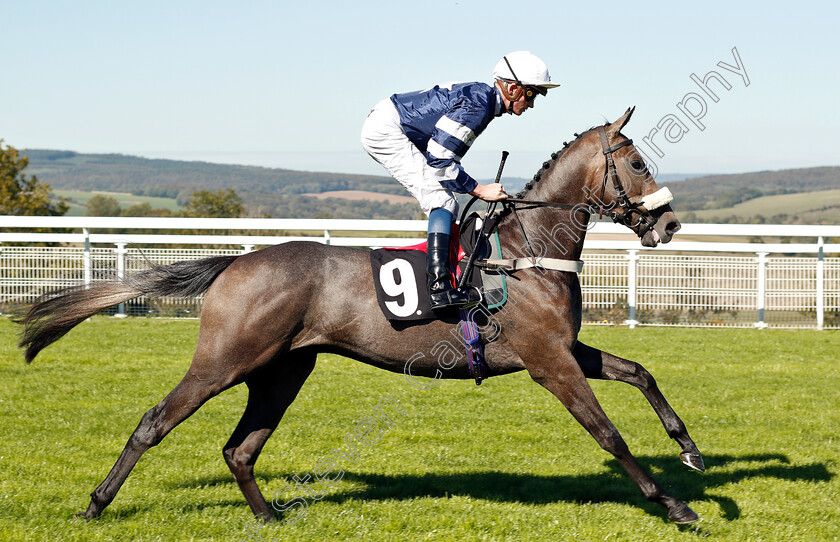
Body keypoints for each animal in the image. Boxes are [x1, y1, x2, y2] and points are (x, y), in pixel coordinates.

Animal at [18, 107, 704, 528]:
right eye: (637, 162)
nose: (670, 223)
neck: (527, 249)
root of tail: (236, 262)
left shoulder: (564, 348)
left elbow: (639, 372)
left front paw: (691, 450)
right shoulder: (548, 362)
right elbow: (608, 434)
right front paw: (674, 505)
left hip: (282, 371)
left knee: (240, 448)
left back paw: (268, 516)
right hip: (225, 360)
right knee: (154, 422)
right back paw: (94, 505)